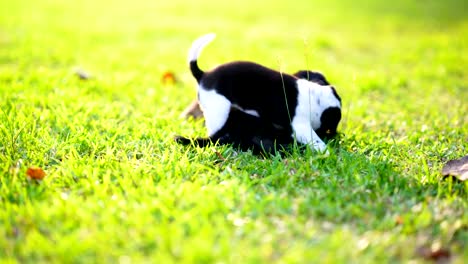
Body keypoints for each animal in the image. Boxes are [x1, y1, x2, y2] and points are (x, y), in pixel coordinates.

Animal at [176, 33, 340, 153]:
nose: (334, 134)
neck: (316, 97)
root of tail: (203, 75)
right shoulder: (301, 127)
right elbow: (315, 140)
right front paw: (325, 152)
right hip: (219, 111)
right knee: (215, 133)